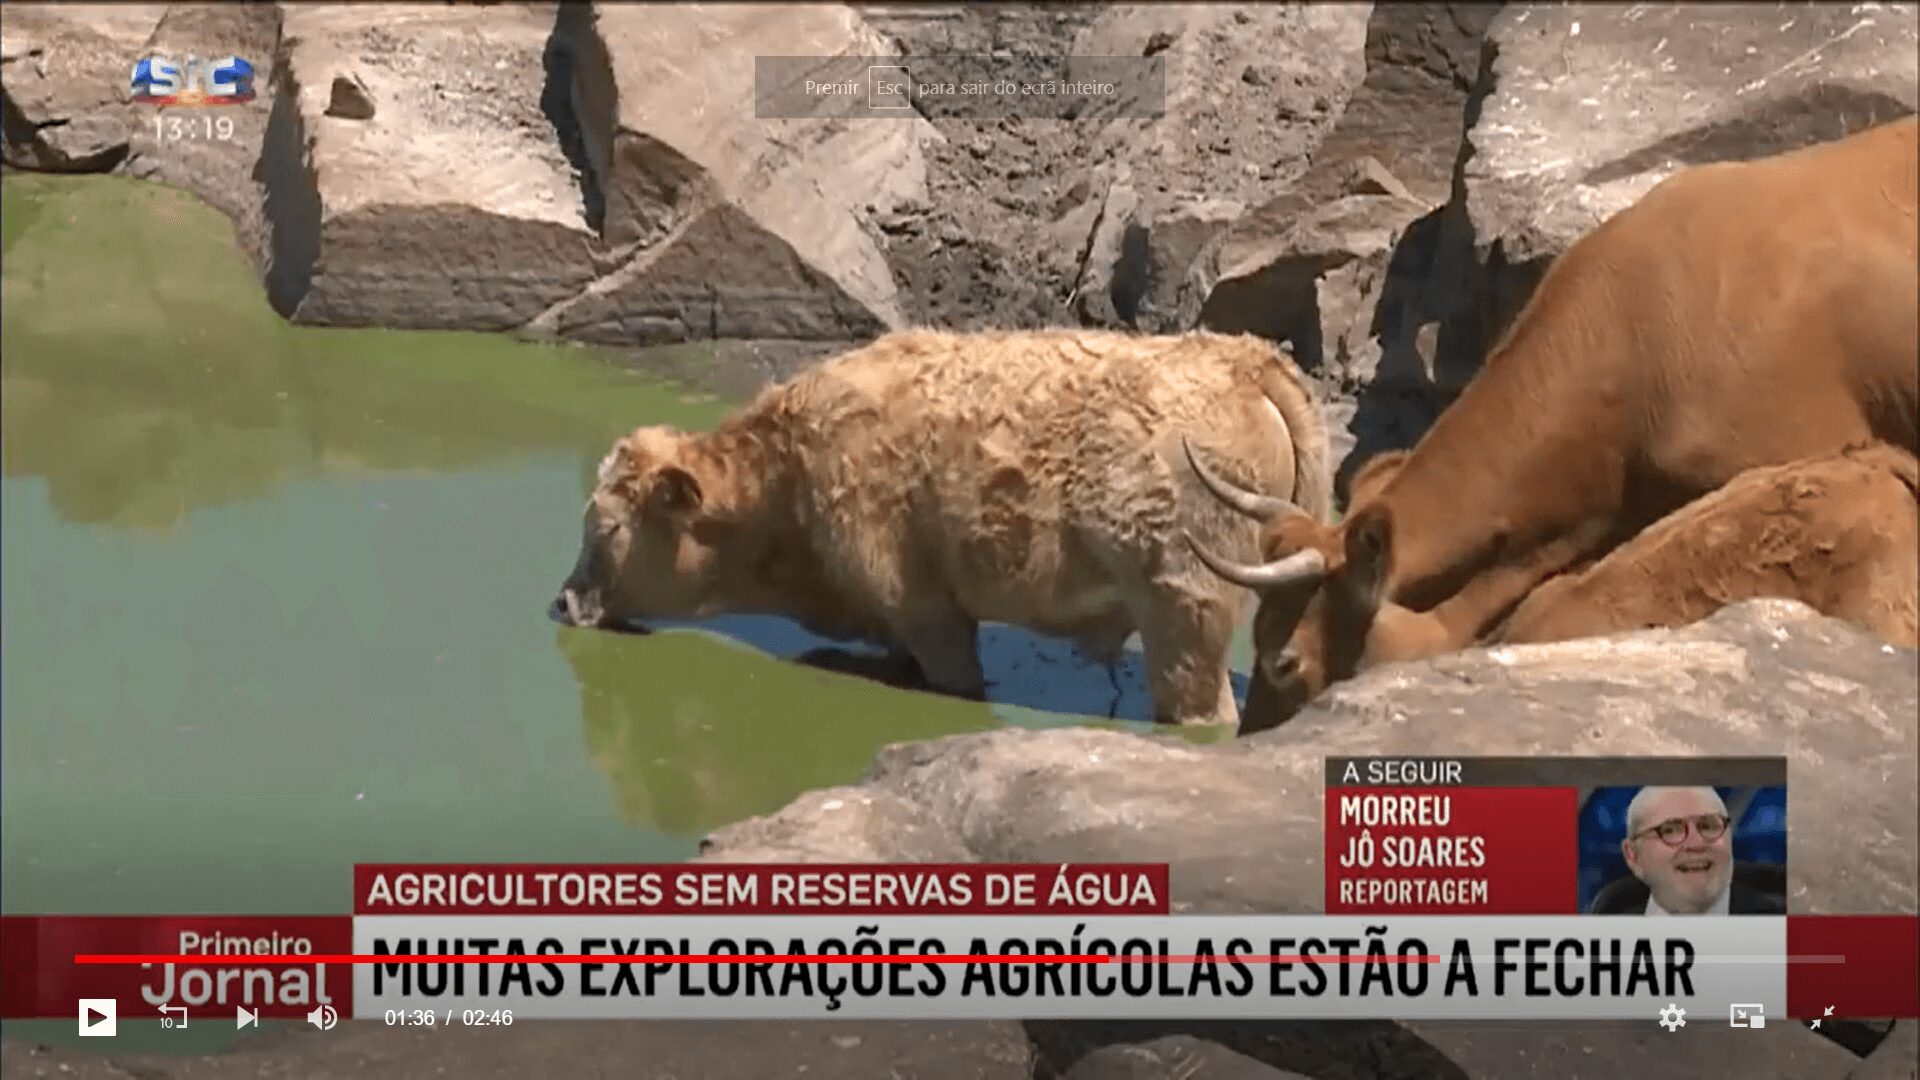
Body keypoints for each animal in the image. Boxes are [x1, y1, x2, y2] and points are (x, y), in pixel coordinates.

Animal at [552, 328, 1334, 726]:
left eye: (609, 528)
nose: (564, 599)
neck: (787, 471)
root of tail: (1243, 359)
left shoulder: (929, 614)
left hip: (1184, 618)